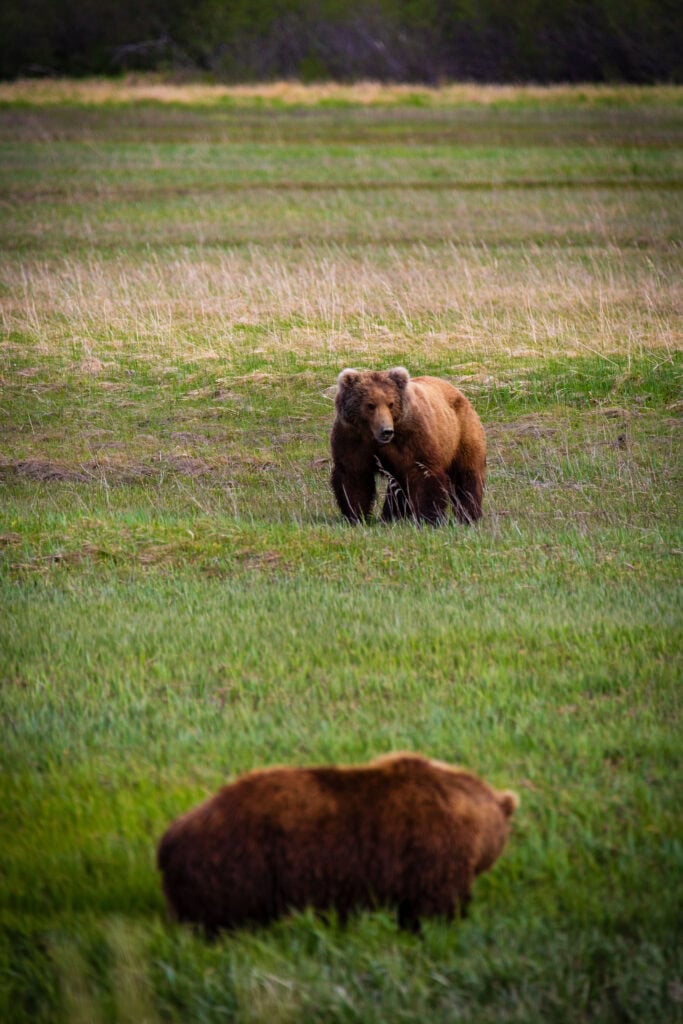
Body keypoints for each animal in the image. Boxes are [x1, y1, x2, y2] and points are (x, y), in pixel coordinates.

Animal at [330, 366, 486, 525]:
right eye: (370, 405)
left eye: (391, 404)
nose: (386, 431)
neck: (373, 436)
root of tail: (458, 391)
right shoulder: (352, 438)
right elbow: (354, 476)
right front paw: (355, 515)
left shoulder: (412, 437)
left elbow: (423, 473)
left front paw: (427, 518)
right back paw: (392, 516)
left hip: (461, 434)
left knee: (466, 475)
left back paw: (468, 515)